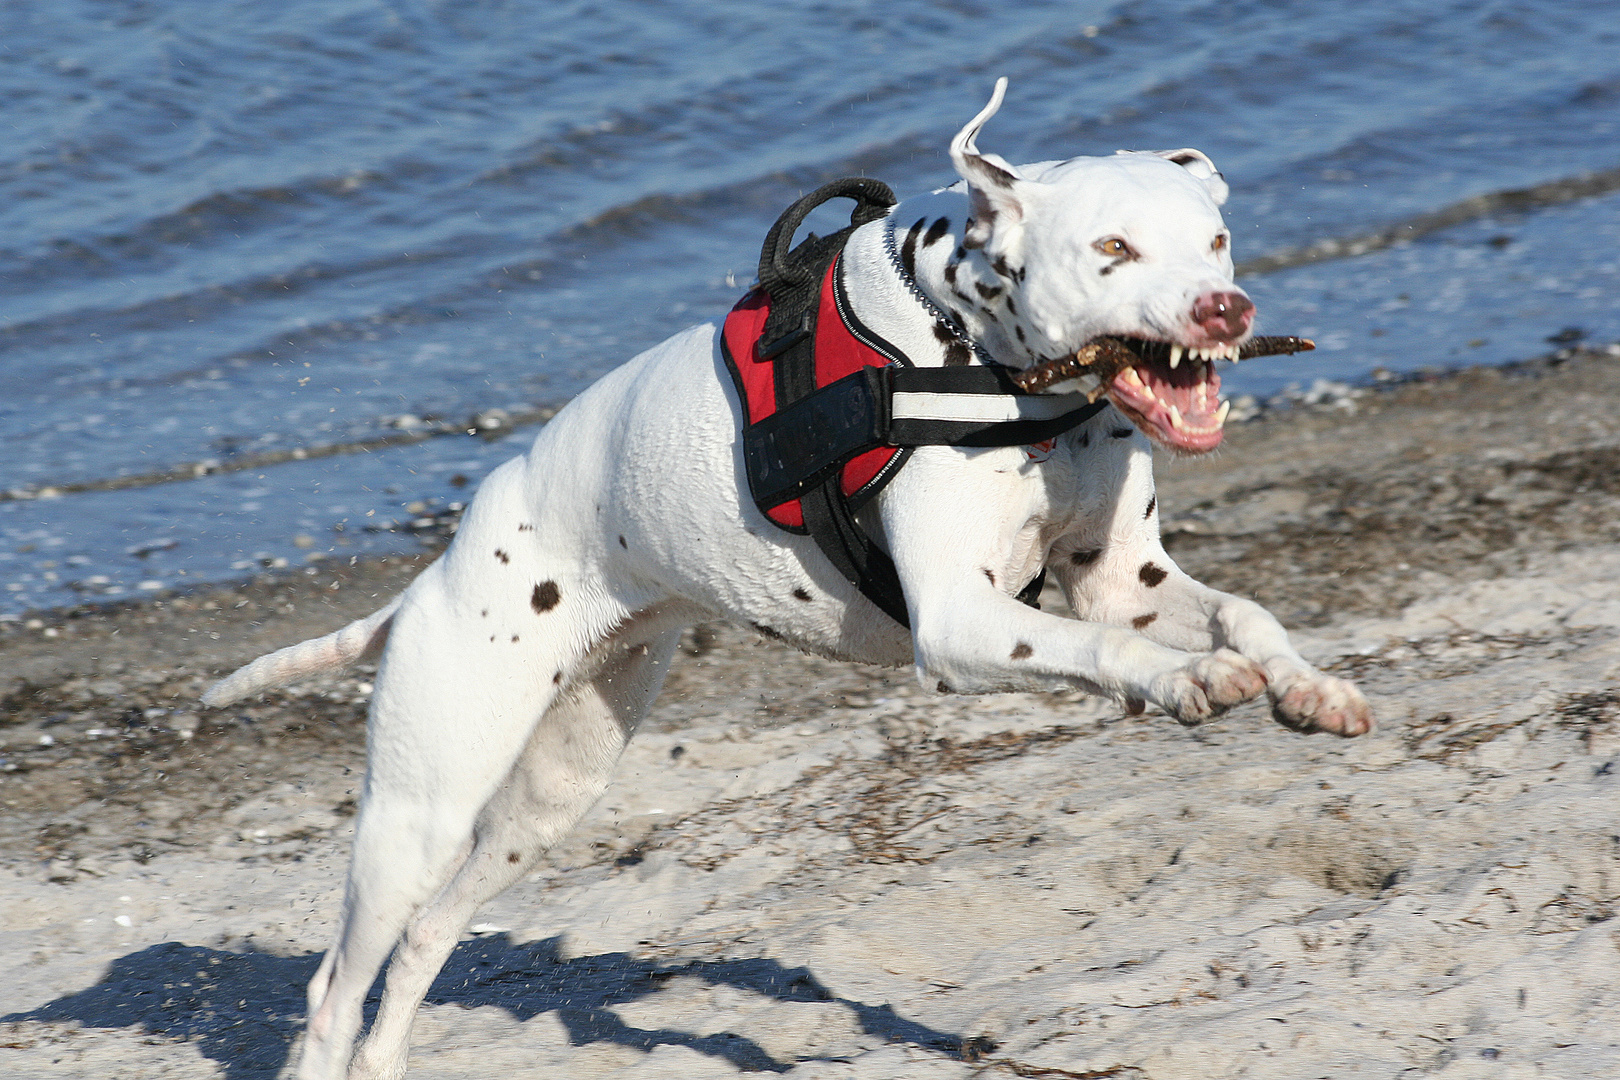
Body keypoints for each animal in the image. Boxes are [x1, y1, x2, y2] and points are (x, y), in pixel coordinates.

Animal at [202, 80, 1367, 1075]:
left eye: (1214, 238)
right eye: (1113, 247)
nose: (1223, 308)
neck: (976, 349)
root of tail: (430, 577)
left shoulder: (1122, 577)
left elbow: (1243, 614)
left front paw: (1307, 688)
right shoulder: (962, 622)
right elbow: (1103, 647)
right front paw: (1179, 682)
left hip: (548, 798)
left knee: (425, 943)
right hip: (422, 806)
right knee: (334, 987)